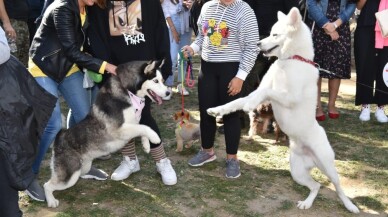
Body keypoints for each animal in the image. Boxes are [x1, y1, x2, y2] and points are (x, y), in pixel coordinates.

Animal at [44, 60, 170, 208]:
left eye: (163, 80)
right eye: (155, 81)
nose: (168, 92)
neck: (128, 91)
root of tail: (59, 138)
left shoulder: (133, 124)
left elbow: (143, 127)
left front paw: (146, 145)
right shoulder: (118, 130)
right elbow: (144, 127)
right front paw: (154, 138)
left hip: (83, 167)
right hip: (70, 175)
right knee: (47, 185)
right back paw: (51, 201)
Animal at [208, 7, 360, 214]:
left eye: (275, 34)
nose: (257, 43)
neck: (289, 61)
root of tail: (311, 159)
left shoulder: (289, 97)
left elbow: (265, 92)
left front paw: (249, 105)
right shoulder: (262, 91)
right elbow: (237, 101)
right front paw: (217, 110)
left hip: (328, 166)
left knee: (338, 187)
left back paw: (350, 206)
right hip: (297, 172)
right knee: (317, 186)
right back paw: (307, 203)